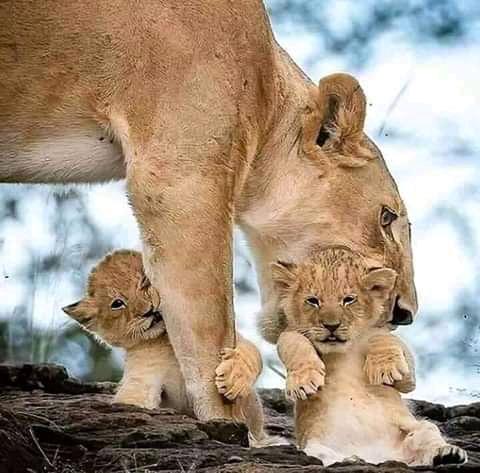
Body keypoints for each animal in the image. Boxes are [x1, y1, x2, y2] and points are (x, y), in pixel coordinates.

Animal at [1, 0, 417, 420]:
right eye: (387, 217)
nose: (405, 314)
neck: (268, 99)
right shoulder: (178, 179)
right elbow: (209, 333)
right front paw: (229, 424)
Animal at [63, 250, 286, 448]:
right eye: (117, 303)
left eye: (144, 281)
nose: (148, 311)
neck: (165, 341)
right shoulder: (143, 376)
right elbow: (133, 398)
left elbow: (250, 355)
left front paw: (234, 378)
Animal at [269, 247, 466, 466]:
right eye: (313, 301)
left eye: (348, 299)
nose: (331, 326)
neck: (343, 351)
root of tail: (378, 457)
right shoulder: (292, 333)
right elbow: (291, 339)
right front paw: (303, 382)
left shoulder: (406, 374)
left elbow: (383, 338)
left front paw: (385, 368)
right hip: (313, 446)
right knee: (328, 457)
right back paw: (351, 459)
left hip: (421, 428)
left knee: (427, 441)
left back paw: (447, 454)